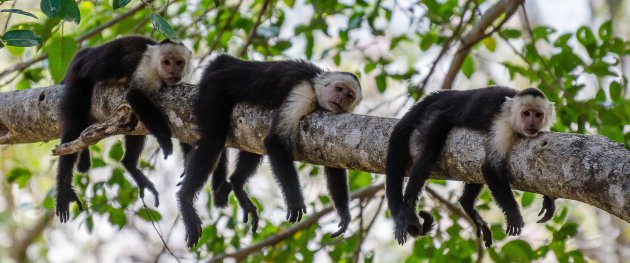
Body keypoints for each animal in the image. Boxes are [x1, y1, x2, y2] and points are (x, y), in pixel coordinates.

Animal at [59, 36, 193, 224]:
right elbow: (134, 95)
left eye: (179, 63)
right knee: (73, 128)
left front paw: (188, 160)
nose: (174, 70)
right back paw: (63, 189)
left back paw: (130, 165)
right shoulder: (147, 70)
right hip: (77, 77)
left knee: (134, 123)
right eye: (166, 62)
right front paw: (165, 140)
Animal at [180, 54, 362, 249]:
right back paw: (185, 200)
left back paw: (237, 184)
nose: (341, 98)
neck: (316, 86)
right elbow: (275, 141)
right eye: (339, 89)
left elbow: (332, 163)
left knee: (254, 145)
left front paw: (344, 214)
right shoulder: (304, 92)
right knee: (213, 141)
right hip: (213, 89)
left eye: (349, 96)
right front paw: (294, 200)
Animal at [386, 87, 556, 248]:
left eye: (538, 115)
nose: (532, 123)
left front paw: (549, 200)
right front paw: (513, 213)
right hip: (435, 115)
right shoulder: (503, 125)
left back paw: (467, 205)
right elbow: (490, 168)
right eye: (526, 114)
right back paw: (407, 212)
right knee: (427, 156)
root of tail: (447, 95)